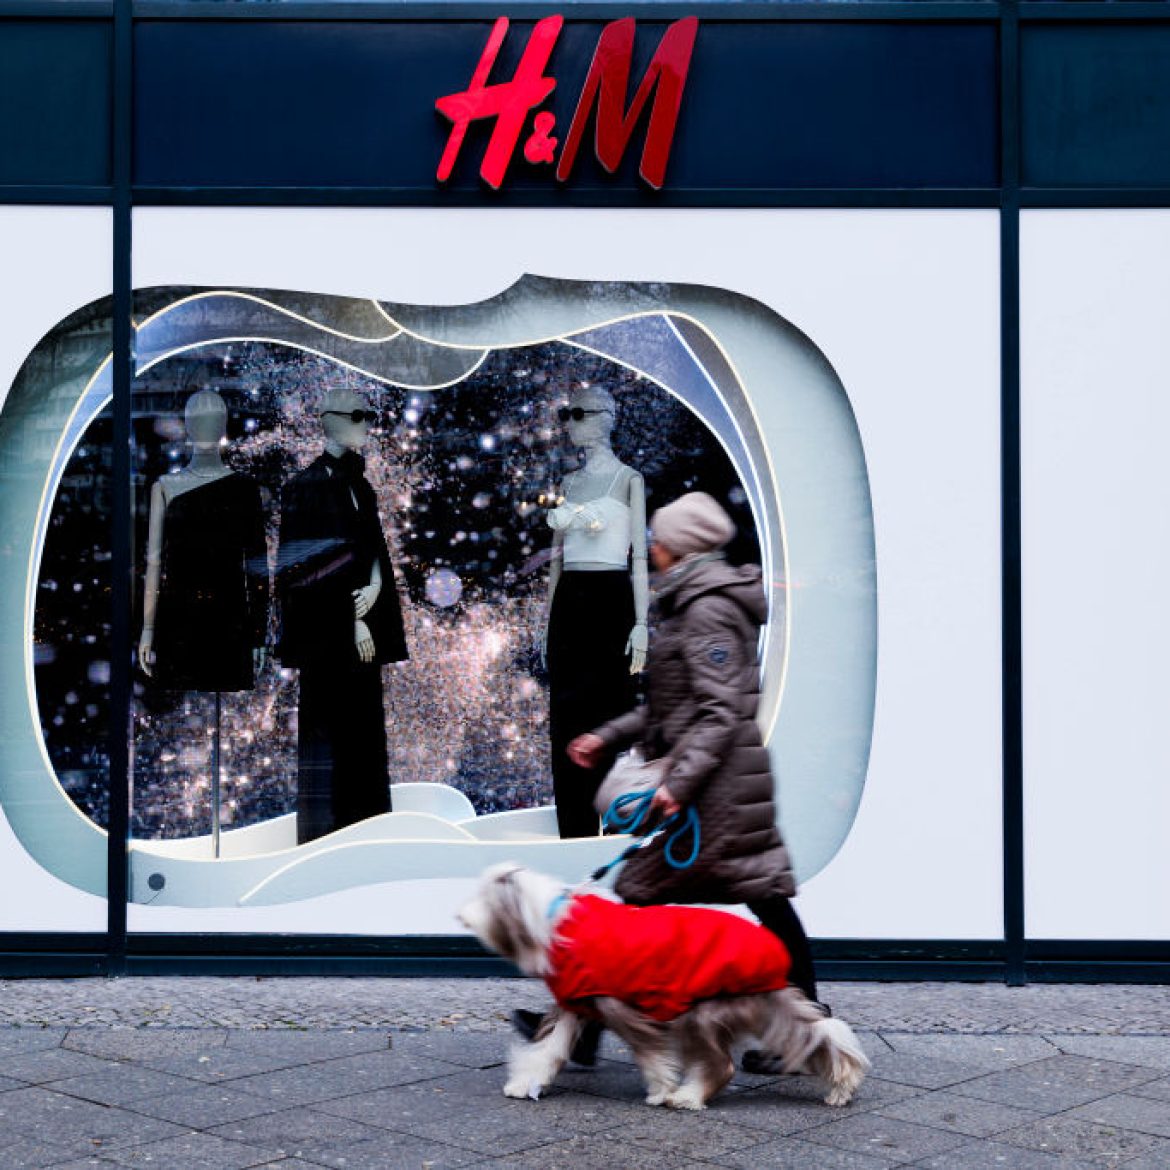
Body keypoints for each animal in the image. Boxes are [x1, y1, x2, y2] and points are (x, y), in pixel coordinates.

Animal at [456, 865, 870, 1109]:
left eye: (484, 896)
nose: (459, 915)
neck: (551, 921)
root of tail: (776, 957)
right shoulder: (577, 1004)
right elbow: (549, 1051)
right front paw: (524, 1084)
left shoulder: (616, 1005)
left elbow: (649, 1053)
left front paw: (661, 1090)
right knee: (818, 1034)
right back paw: (842, 1086)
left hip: (706, 1008)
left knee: (722, 1064)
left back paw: (686, 1097)